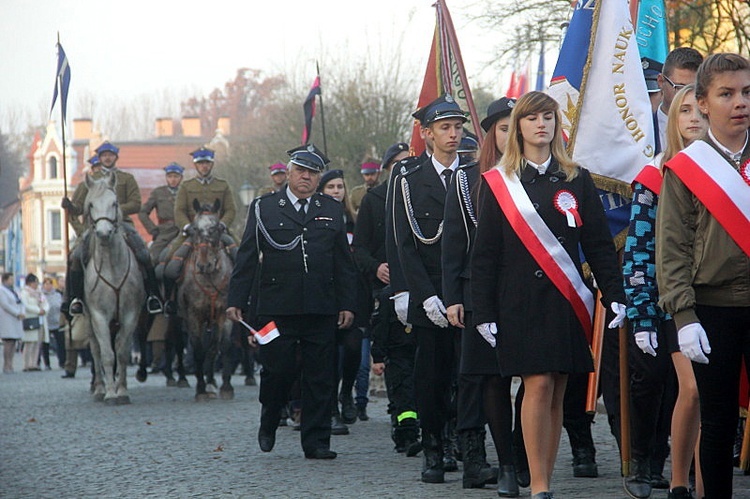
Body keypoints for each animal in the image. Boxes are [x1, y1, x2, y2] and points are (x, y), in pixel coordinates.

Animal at [83, 174, 146, 404]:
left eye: (114, 203)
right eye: (91, 204)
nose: (103, 233)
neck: (111, 266)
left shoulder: (130, 315)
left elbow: (122, 352)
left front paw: (122, 391)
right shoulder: (98, 316)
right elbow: (107, 354)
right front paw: (110, 393)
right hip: (87, 319)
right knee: (95, 350)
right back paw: (100, 389)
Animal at [178, 199, 234, 402]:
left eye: (217, 228)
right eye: (194, 229)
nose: (204, 265)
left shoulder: (224, 314)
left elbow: (222, 346)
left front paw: (226, 387)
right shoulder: (194, 316)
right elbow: (198, 350)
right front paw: (201, 389)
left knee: (213, 348)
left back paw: (211, 382)